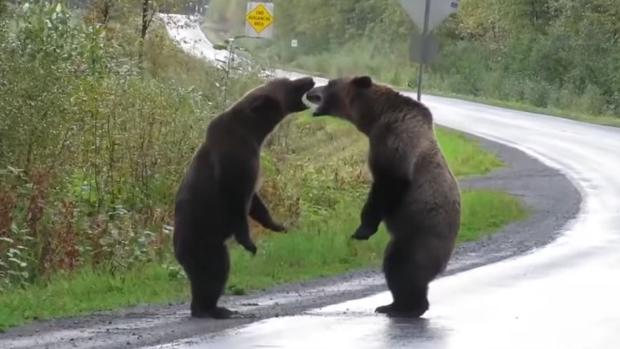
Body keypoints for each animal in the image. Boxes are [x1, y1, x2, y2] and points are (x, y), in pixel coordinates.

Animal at [306, 76, 460, 318]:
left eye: (330, 83)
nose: (311, 90)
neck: (375, 117)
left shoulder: (395, 140)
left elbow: (388, 183)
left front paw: (362, 229)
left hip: (419, 235)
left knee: (401, 266)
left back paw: (402, 307)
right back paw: (395, 305)